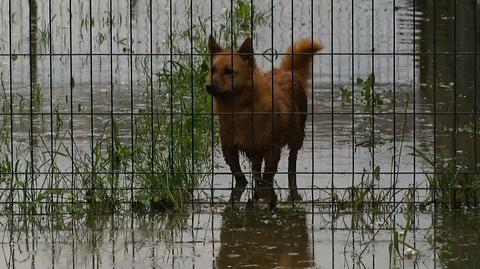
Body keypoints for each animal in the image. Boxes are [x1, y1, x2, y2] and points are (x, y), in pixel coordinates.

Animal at [204, 35, 324, 206]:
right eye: (213, 70)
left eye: (229, 71)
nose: (208, 86)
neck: (241, 110)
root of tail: (287, 72)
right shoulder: (229, 148)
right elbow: (240, 176)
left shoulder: (271, 148)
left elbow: (267, 178)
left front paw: (263, 193)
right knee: (256, 169)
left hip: (296, 135)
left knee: (291, 163)